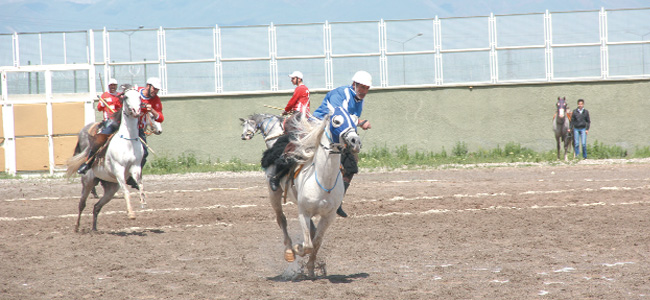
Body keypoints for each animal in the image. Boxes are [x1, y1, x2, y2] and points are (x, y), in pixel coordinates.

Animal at [65, 89, 146, 232]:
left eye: (139, 97)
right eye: (126, 97)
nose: (136, 110)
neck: (128, 140)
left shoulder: (135, 167)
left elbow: (141, 185)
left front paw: (143, 202)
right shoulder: (119, 169)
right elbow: (126, 190)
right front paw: (131, 214)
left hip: (111, 189)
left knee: (96, 206)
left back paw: (94, 229)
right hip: (88, 182)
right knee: (82, 204)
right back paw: (76, 227)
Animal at [266, 106, 362, 278]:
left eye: (354, 120)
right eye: (337, 121)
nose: (355, 141)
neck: (323, 181)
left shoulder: (328, 217)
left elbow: (316, 242)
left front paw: (311, 268)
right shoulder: (303, 213)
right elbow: (308, 244)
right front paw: (297, 249)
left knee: (311, 230)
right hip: (274, 195)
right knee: (281, 219)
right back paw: (289, 250)